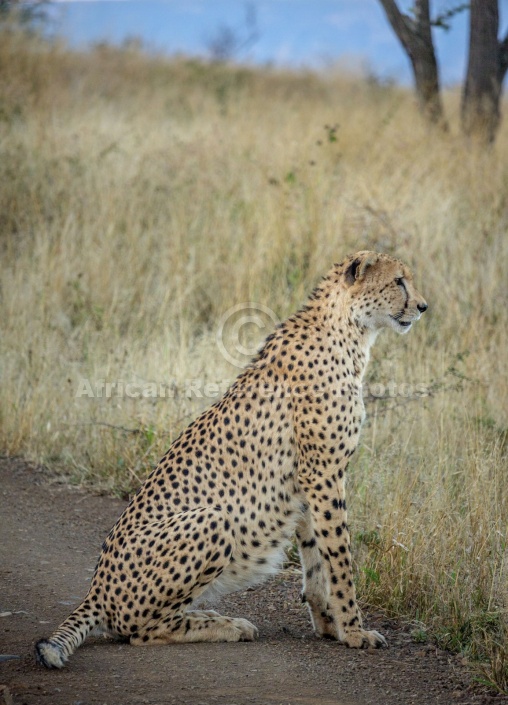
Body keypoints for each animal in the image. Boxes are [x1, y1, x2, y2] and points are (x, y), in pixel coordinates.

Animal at [33, 252, 426, 664]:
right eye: (399, 281)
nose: (422, 306)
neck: (349, 330)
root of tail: (95, 590)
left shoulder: (308, 481)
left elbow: (316, 559)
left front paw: (328, 626)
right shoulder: (324, 474)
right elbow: (338, 558)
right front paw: (354, 630)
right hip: (213, 520)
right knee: (140, 631)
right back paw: (227, 625)